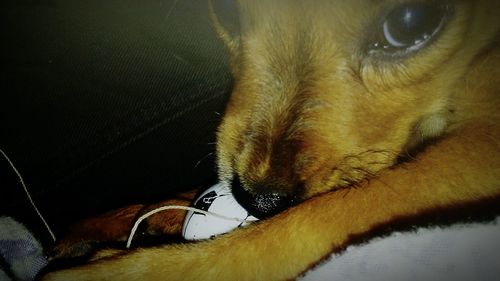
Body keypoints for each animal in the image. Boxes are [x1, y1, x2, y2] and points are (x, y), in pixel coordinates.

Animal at [40, 0, 500, 278]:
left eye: (412, 21)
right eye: (226, 11)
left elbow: (317, 218)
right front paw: (141, 213)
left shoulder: (479, 148)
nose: (258, 201)